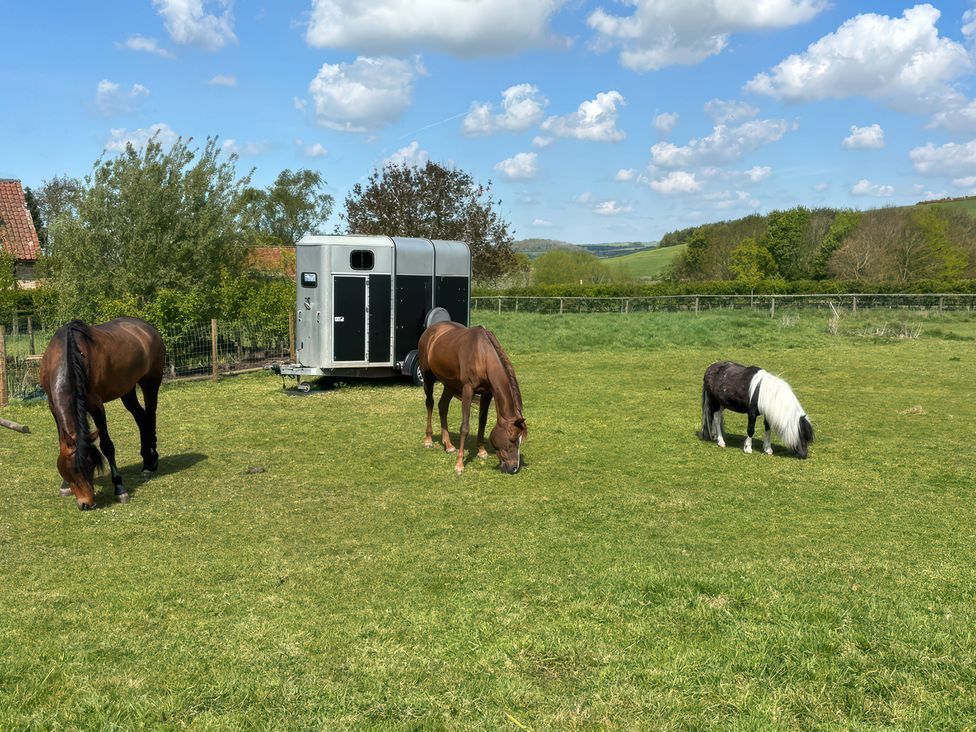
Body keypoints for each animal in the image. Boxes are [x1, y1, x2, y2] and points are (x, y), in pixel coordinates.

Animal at [40, 317, 165, 510]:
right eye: (73, 471)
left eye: (92, 465)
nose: (87, 504)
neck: (68, 356)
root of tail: (148, 328)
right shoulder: (52, 406)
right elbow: (62, 440)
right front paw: (65, 485)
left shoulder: (96, 405)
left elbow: (107, 445)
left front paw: (119, 488)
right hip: (127, 390)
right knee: (141, 418)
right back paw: (146, 458)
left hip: (150, 383)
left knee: (150, 417)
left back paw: (151, 463)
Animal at [418, 321, 527, 475]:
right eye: (512, 439)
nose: (514, 468)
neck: (482, 355)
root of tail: (431, 330)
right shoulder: (468, 390)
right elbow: (464, 427)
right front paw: (459, 465)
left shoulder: (487, 393)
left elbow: (482, 421)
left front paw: (481, 451)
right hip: (427, 376)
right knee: (430, 403)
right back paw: (428, 440)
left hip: (449, 384)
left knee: (443, 406)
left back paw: (448, 445)